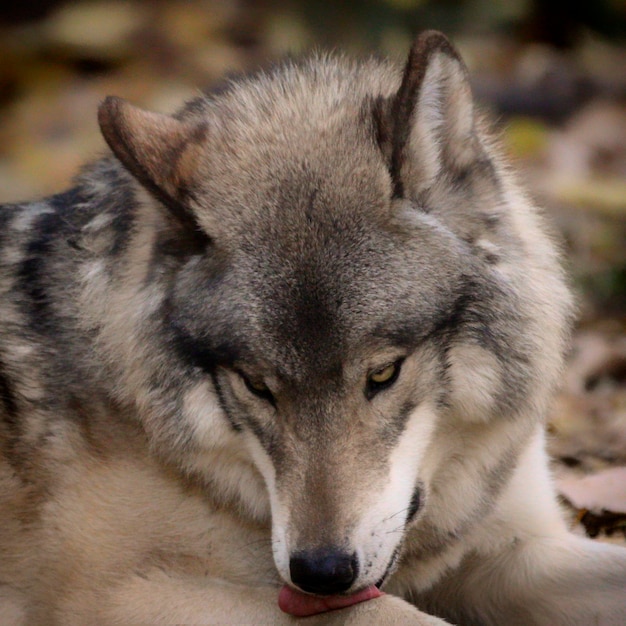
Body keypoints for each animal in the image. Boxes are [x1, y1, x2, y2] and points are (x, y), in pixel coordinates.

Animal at [1, 30, 624, 624]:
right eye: (257, 386)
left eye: (384, 373)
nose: (321, 572)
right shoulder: (118, 595)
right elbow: (393, 615)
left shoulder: (512, 548)